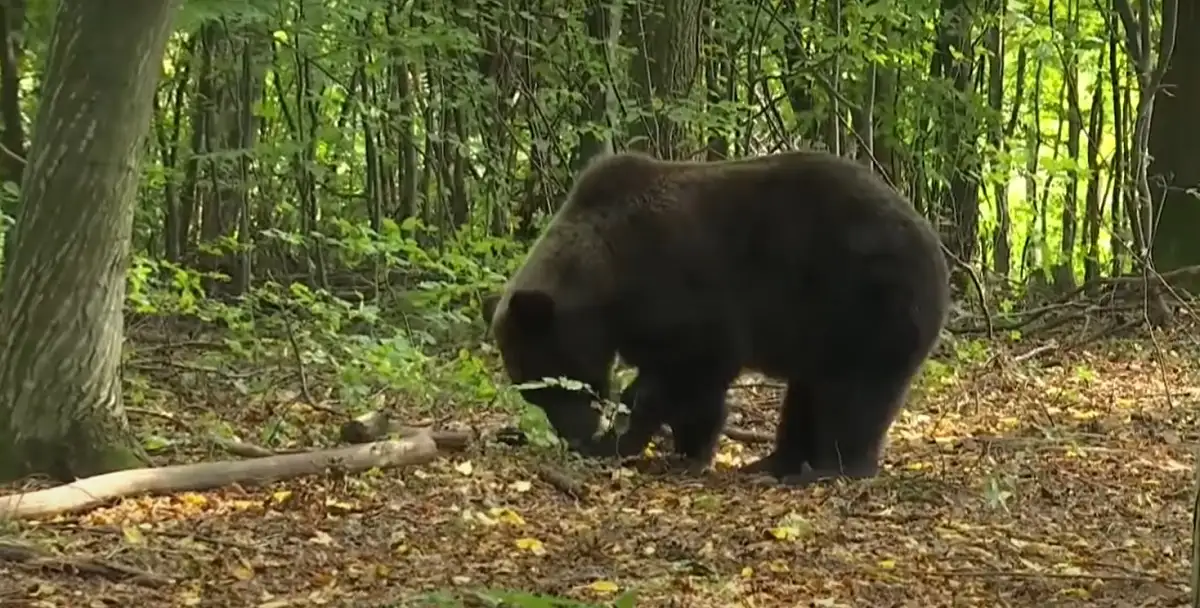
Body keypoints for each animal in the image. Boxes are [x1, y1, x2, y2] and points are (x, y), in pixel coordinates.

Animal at [482, 151, 950, 484]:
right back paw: (772, 462)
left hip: (866, 301)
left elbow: (693, 371)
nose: (575, 437)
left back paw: (829, 468)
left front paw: (634, 438)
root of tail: (934, 244)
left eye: (555, 384)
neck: (611, 279)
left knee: (854, 392)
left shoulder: (688, 293)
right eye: (535, 396)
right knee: (809, 392)